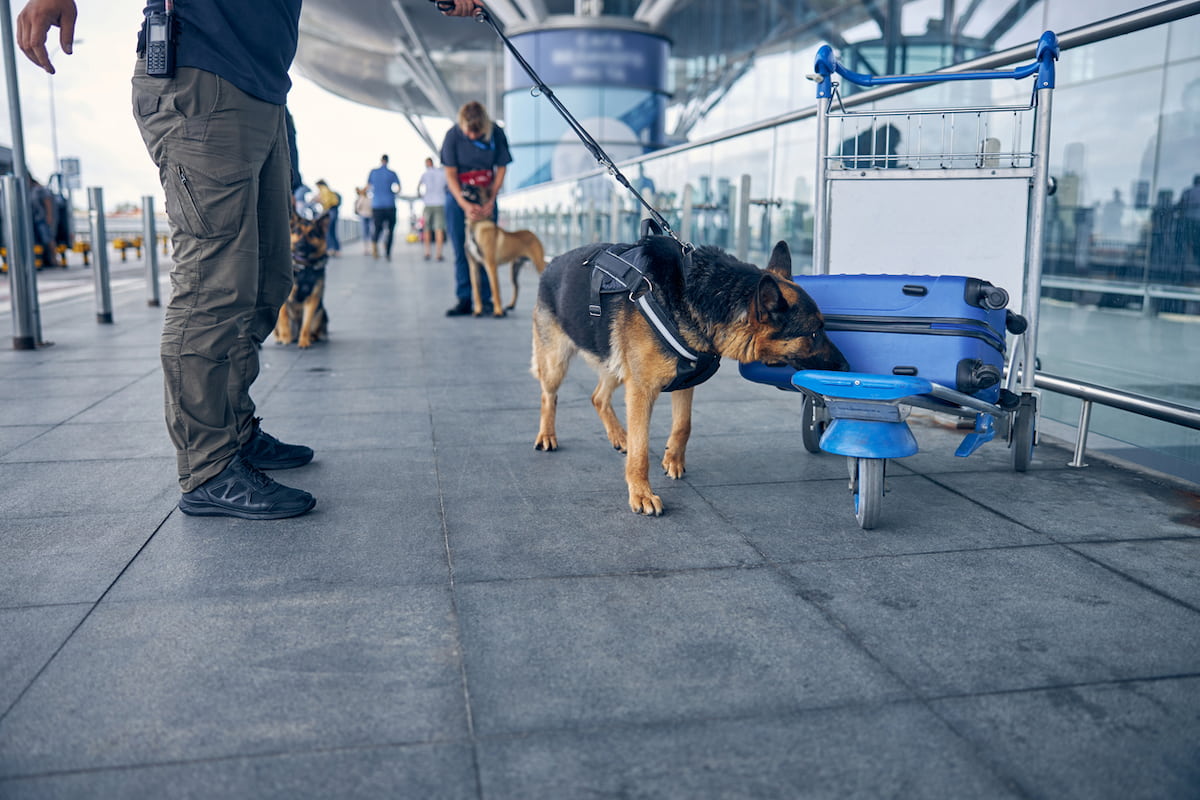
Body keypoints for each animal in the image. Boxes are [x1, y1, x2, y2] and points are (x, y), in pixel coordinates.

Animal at [273, 209, 328, 347]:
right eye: (297, 231)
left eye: (312, 233)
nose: (302, 245)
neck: (304, 268)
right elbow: (284, 319)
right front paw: (285, 338)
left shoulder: (312, 299)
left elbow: (306, 324)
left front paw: (304, 341)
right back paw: (280, 338)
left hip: (321, 312)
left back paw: (311, 337)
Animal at [530, 237, 849, 515]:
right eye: (814, 333)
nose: (846, 366)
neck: (694, 295)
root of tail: (553, 262)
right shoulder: (641, 390)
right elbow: (641, 450)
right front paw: (641, 493)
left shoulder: (684, 382)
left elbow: (684, 425)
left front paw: (673, 459)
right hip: (558, 362)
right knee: (549, 396)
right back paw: (547, 435)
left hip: (615, 364)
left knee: (597, 397)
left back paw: (619, 436)